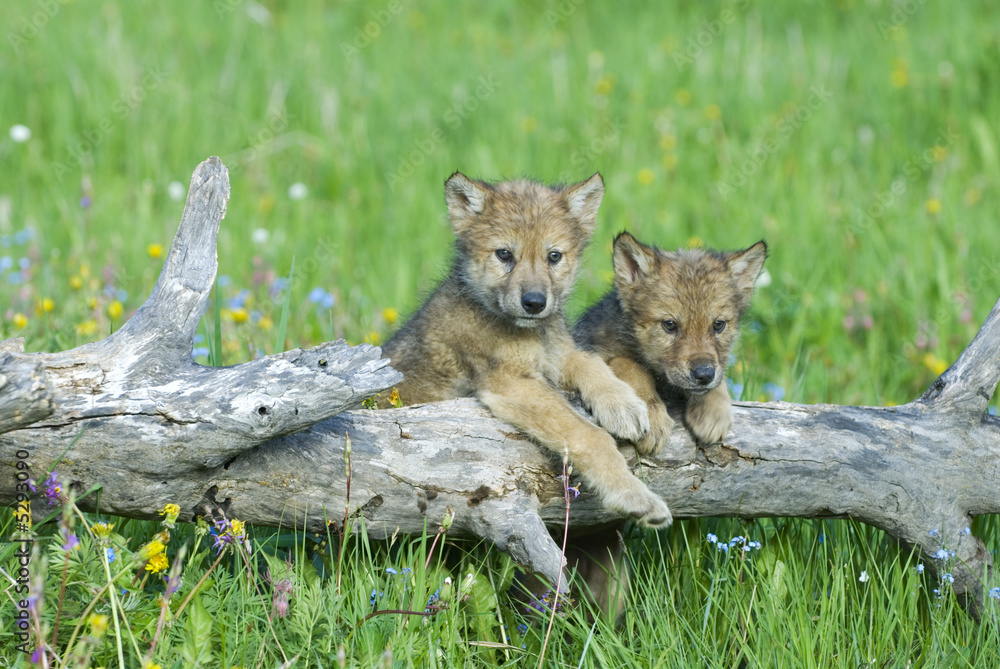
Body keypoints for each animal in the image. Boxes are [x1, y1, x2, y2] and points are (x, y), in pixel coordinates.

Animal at [381, 173, 671, 528]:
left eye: (554, 256)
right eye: (504, 254)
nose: (534, 303)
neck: (529, 332)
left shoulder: (558, 354)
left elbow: (591, 363)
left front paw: (624, 404)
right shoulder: (510, 384)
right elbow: (587, 434)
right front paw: (634, 496)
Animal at [575, 232, 767, 452]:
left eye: (718, 325)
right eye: (669, 325)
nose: (704, 375)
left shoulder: (714, 364)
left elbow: (719, 374)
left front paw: (713, 411)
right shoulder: (594, 349)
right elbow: (631, 367)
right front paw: (653, 418)